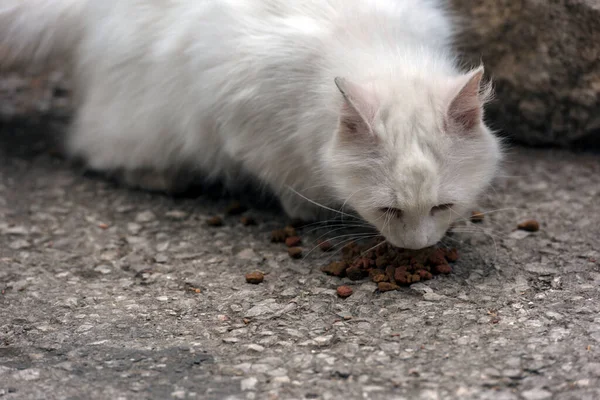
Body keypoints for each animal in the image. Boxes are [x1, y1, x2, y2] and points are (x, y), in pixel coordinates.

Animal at [0, 0, 502, 250]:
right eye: (389, 211)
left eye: (441, 207)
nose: (417, 248)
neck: (372, 42)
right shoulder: (245, 128)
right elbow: (285, 181)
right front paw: (309, 209)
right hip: (138, 123)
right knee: (93, 148)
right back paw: (163, 178)